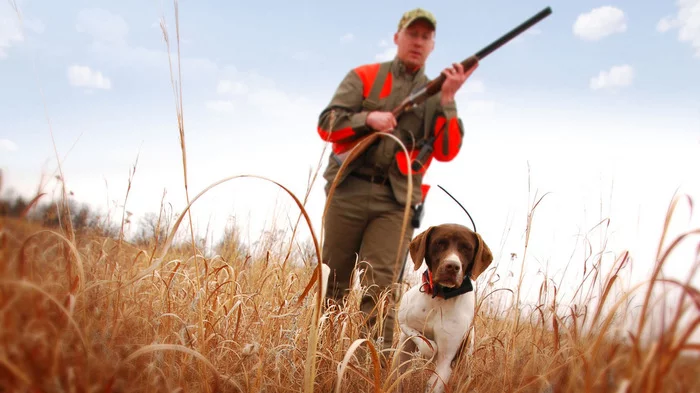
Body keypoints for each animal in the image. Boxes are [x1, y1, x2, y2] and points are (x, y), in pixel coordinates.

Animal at [396, 224, 494, 392]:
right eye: (439, 243)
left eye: (467, 248)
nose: (452, 266)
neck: (439, 298)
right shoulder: (404, 321)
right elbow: (426, 343)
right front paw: (429, 350)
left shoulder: (446, 362)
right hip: (402, 351)